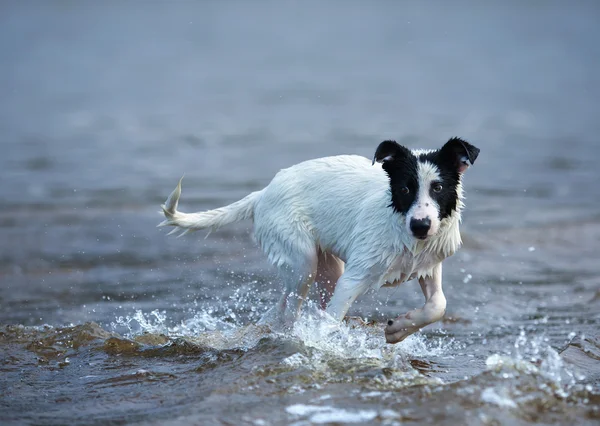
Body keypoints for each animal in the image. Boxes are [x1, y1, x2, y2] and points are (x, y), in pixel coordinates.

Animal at [158, 138, 478, 344]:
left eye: (438, 188)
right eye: (404, 188)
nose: (421, 225)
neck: (399, 221)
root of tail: (262, 194)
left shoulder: (429, 262)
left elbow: (438, 304)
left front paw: (397, 329)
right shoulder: (353, 277)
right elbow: (330, 322)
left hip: (326, 268)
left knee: (282, 311)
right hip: (302, 262)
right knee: (291, 313)